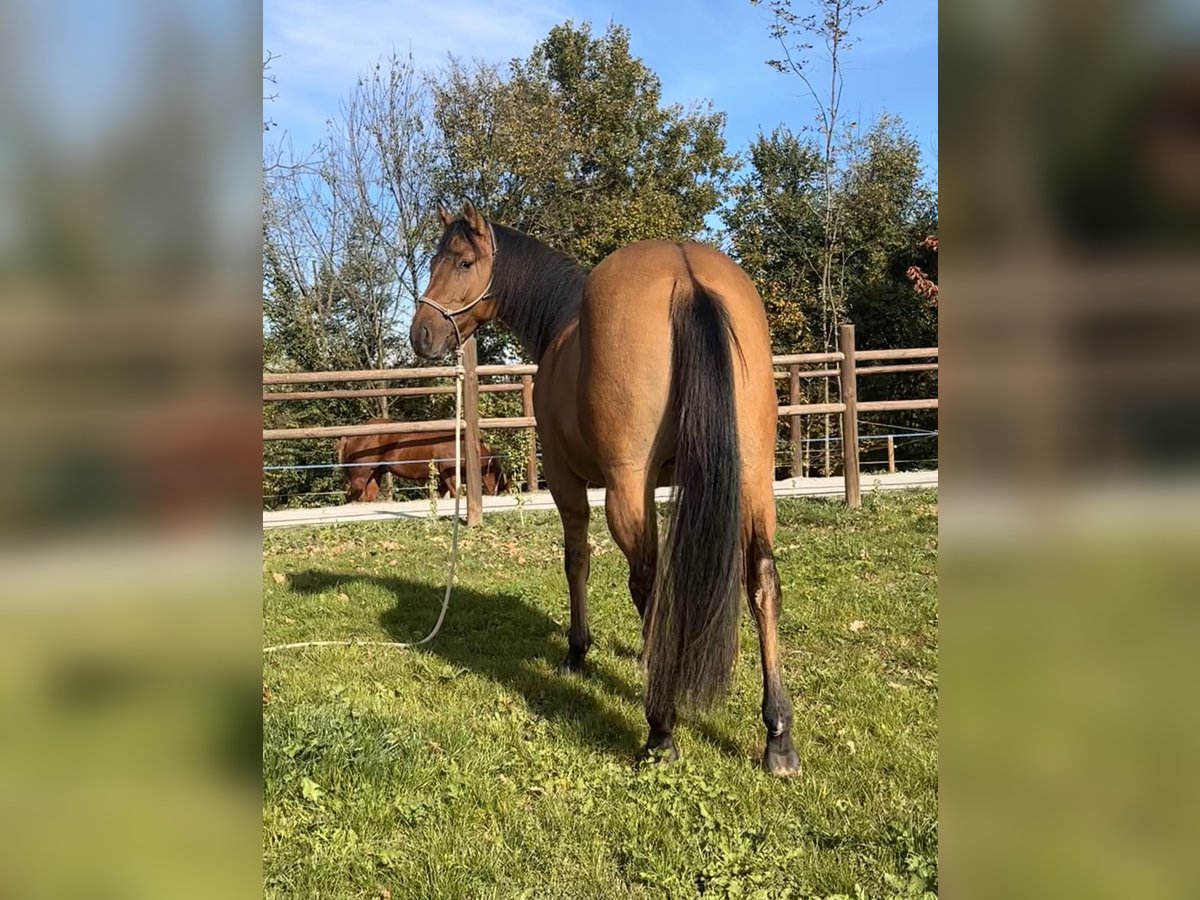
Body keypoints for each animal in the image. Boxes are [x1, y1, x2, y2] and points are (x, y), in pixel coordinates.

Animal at [336, 419, 508, 503]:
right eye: (496, 475)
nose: (493, 492)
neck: (460, 444)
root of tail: (348, 437)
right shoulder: (449, 475)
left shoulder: (442, 481)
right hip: (359, 479)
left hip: (372, 479)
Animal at [409, 202, 799, 775]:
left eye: (461, 262)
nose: (422, 334)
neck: (563, 327)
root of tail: (686, 275)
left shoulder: (568, 482)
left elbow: (577, 561)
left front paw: (578, 652)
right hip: (752, 476)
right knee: (761, 581)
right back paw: (778, 737)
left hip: (625, 488)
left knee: (647, 580)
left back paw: (661, 729)